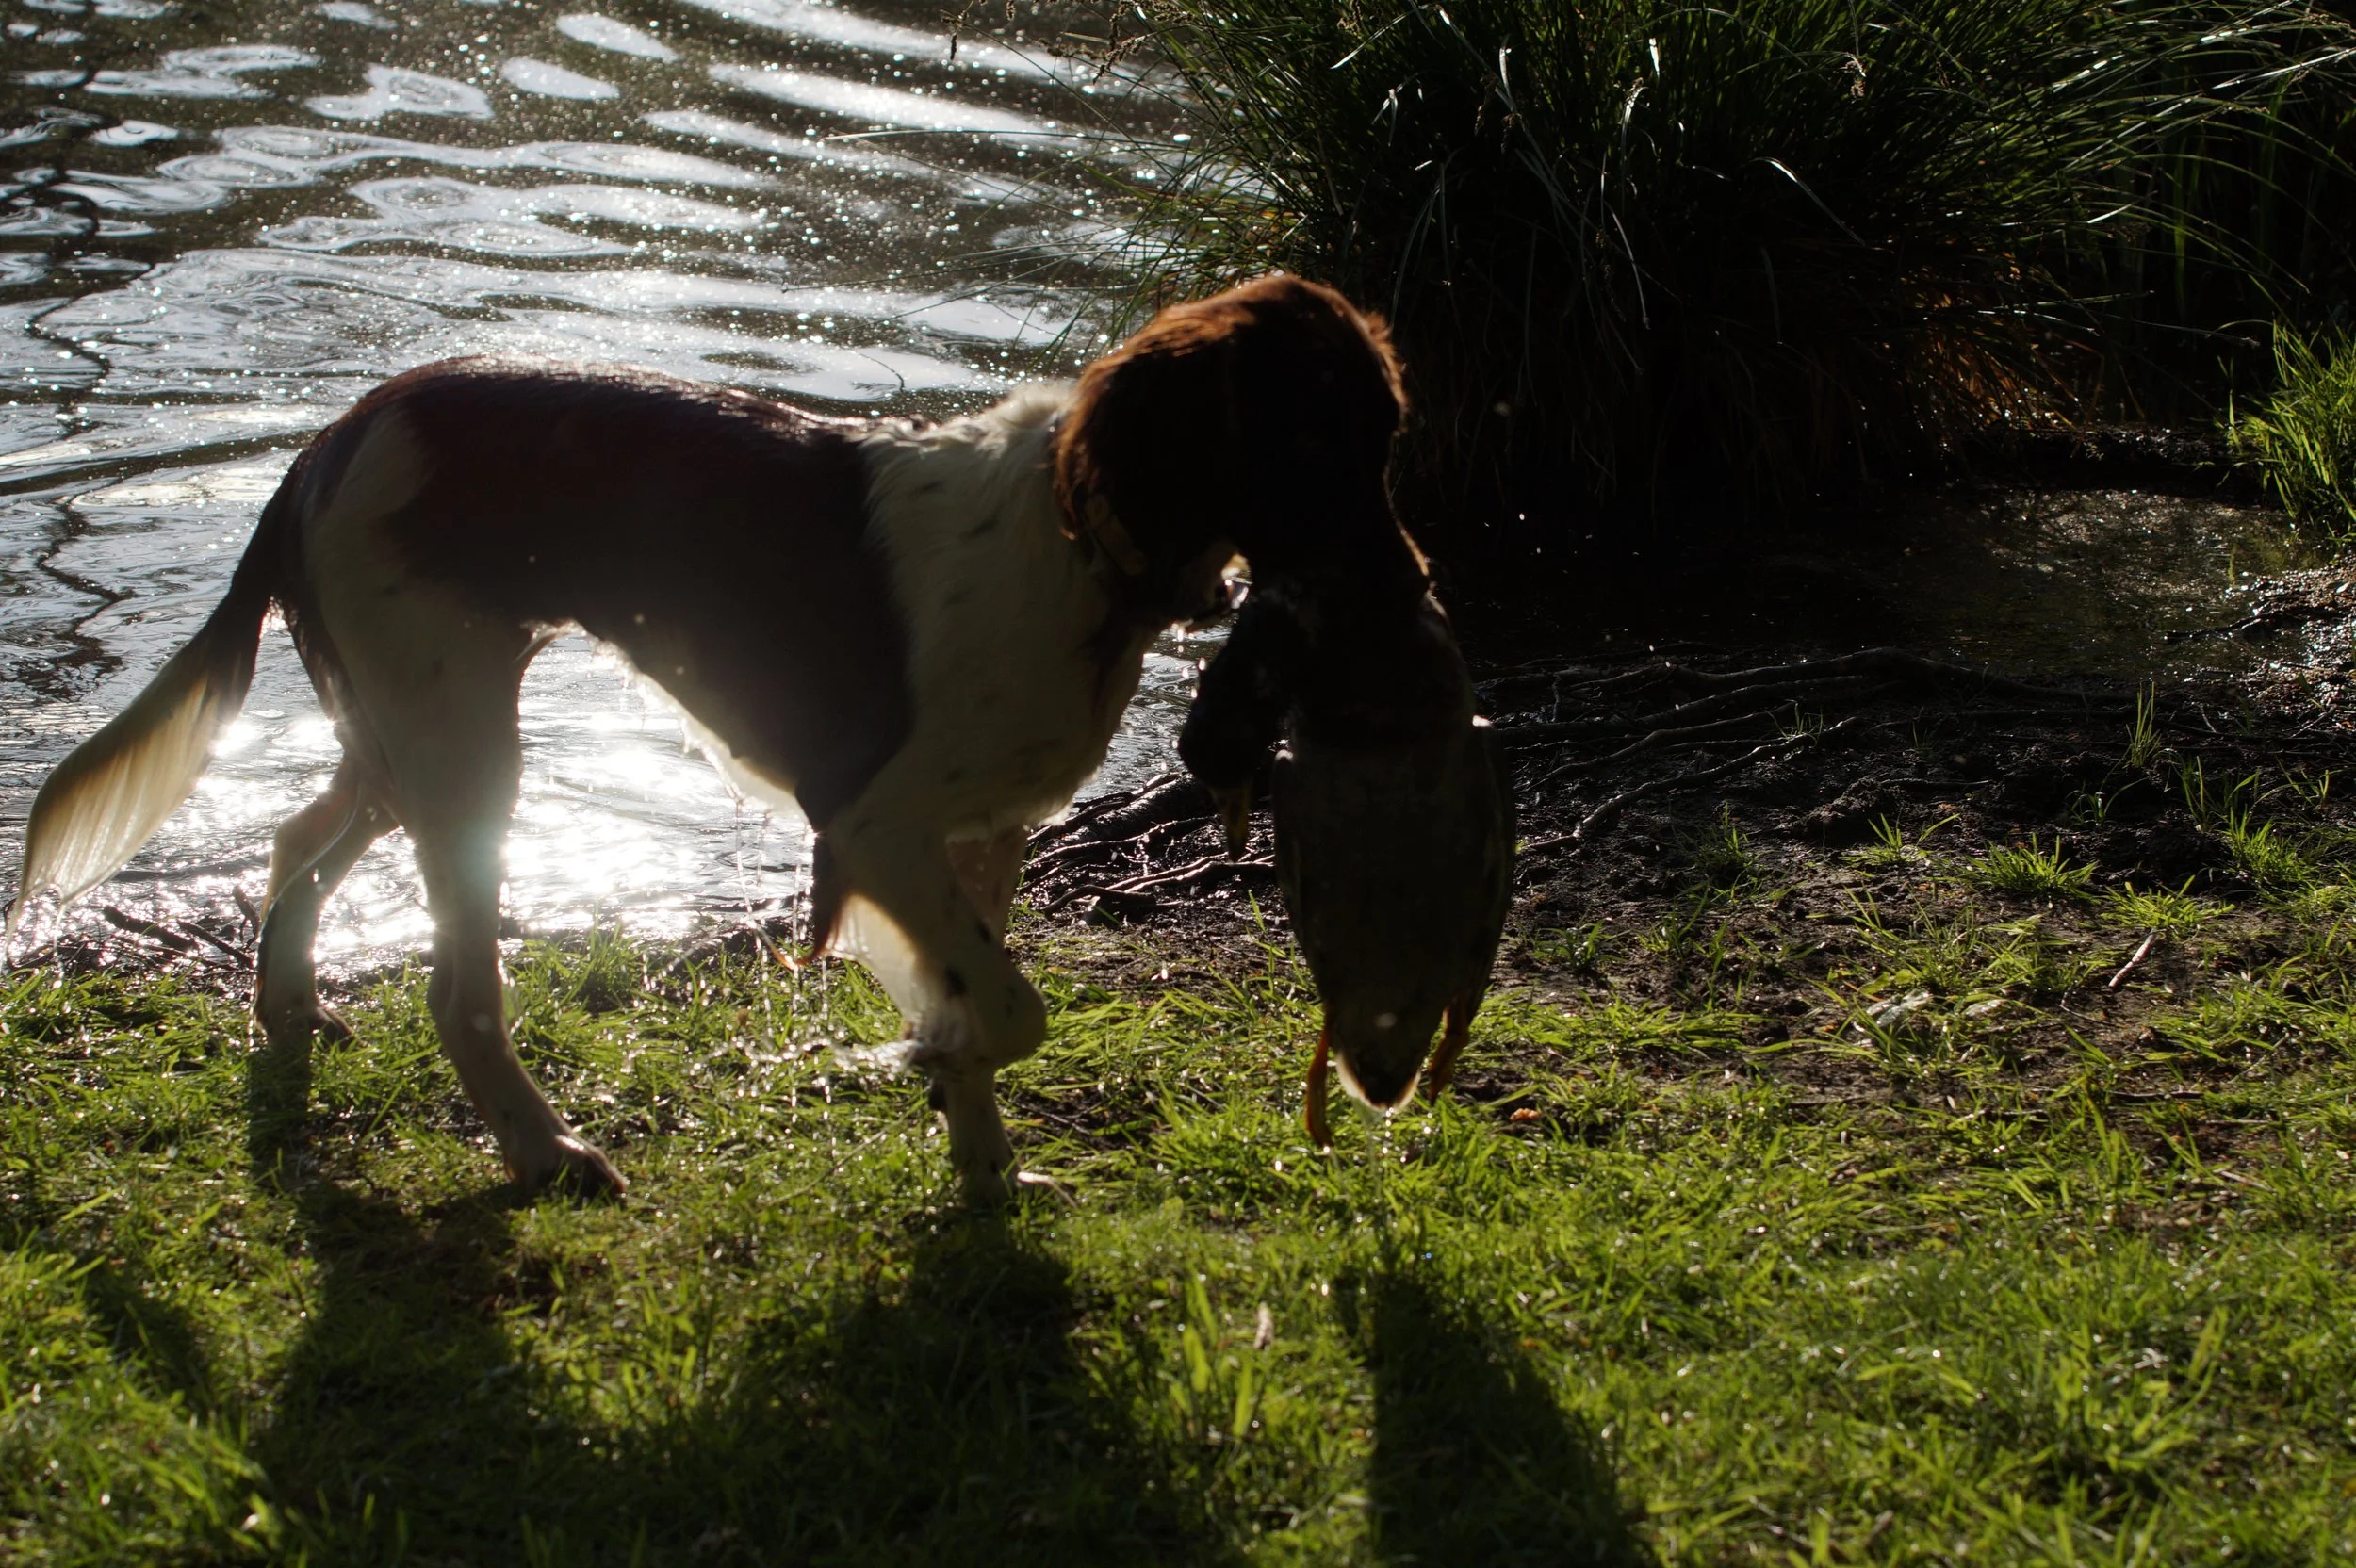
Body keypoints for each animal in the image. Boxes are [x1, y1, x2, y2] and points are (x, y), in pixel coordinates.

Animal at [6, 274, 1425, 1203]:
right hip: (463, 747)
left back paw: (291, 1006)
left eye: (1387, 436)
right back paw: (542, 1152)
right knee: (456, 987)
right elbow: (1008, 1011)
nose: (1411, 585)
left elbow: (985, 999)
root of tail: (328, 442)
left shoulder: (979, 836)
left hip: (410, 726)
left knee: (296, 838)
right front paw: (923, 1054)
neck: (1079, 549)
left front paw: (982, 1172)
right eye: (1312, 439)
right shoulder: (869, 820)